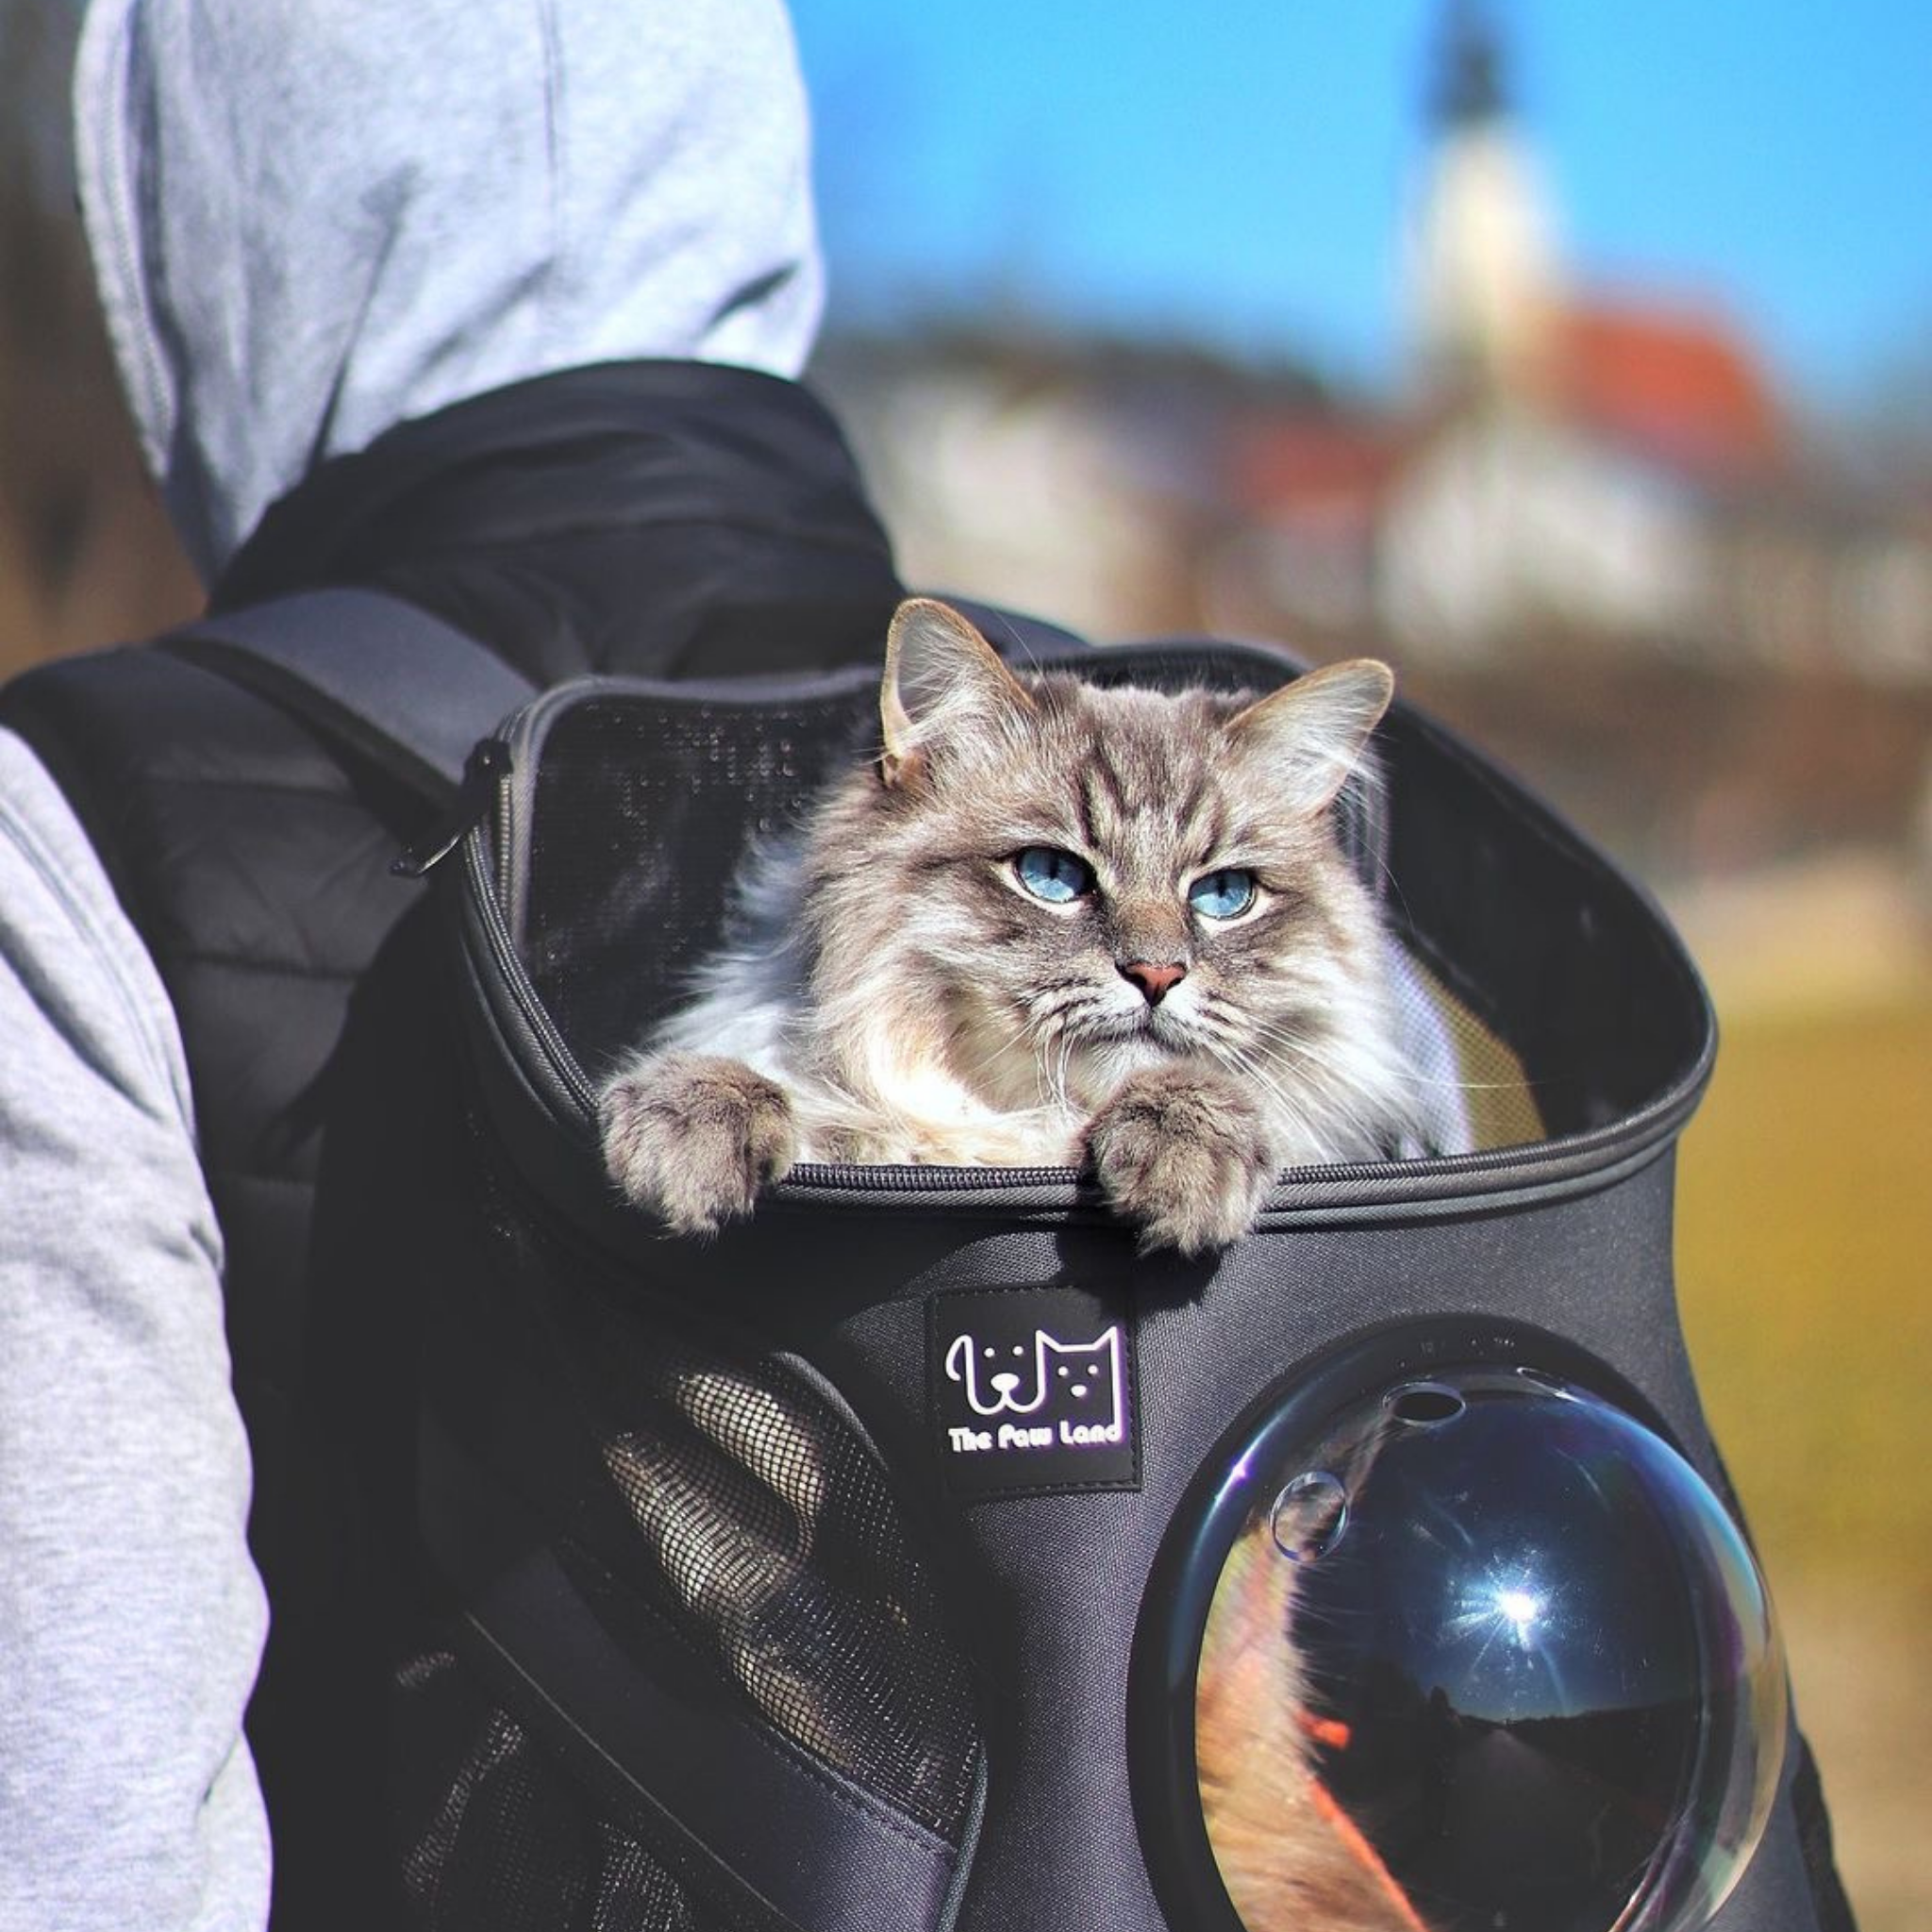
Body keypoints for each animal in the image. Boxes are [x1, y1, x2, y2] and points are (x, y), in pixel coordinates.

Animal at [602, 598, 1437, 1252]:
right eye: (1051, 876)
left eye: (1224, 895)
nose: (1157, 974)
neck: (1028, 1138)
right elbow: (775, 1092)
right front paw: (690, 1129)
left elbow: (1199, 1090)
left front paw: (1185, 1163)